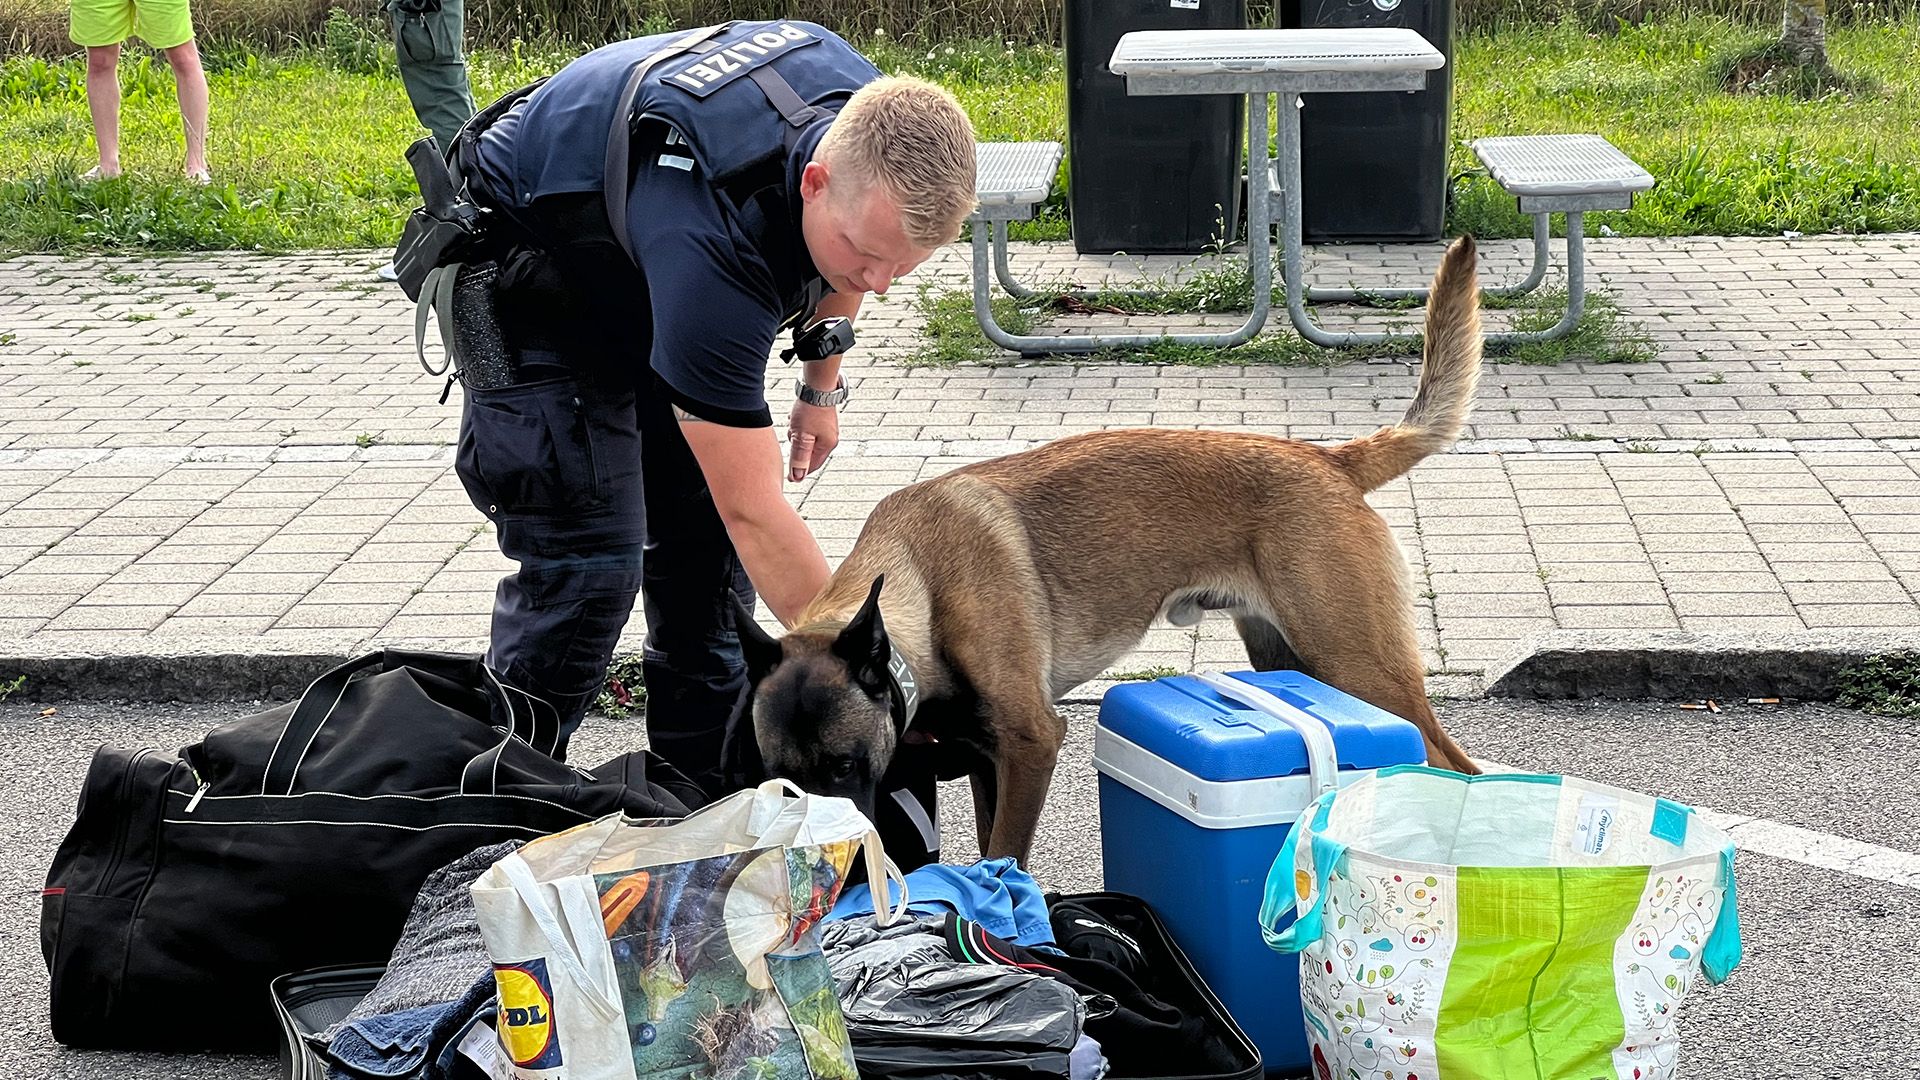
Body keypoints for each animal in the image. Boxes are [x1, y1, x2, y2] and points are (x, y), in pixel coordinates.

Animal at [733, 237, 1482, 864]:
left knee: (1458, 767)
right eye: (780, 781)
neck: (919, 576)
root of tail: (1330, 460)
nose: (814, 861)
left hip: (1359, 666)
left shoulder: (1032, 746)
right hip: (1294, 660)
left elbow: (1005, 855)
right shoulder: (987, 761)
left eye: (843, 767)